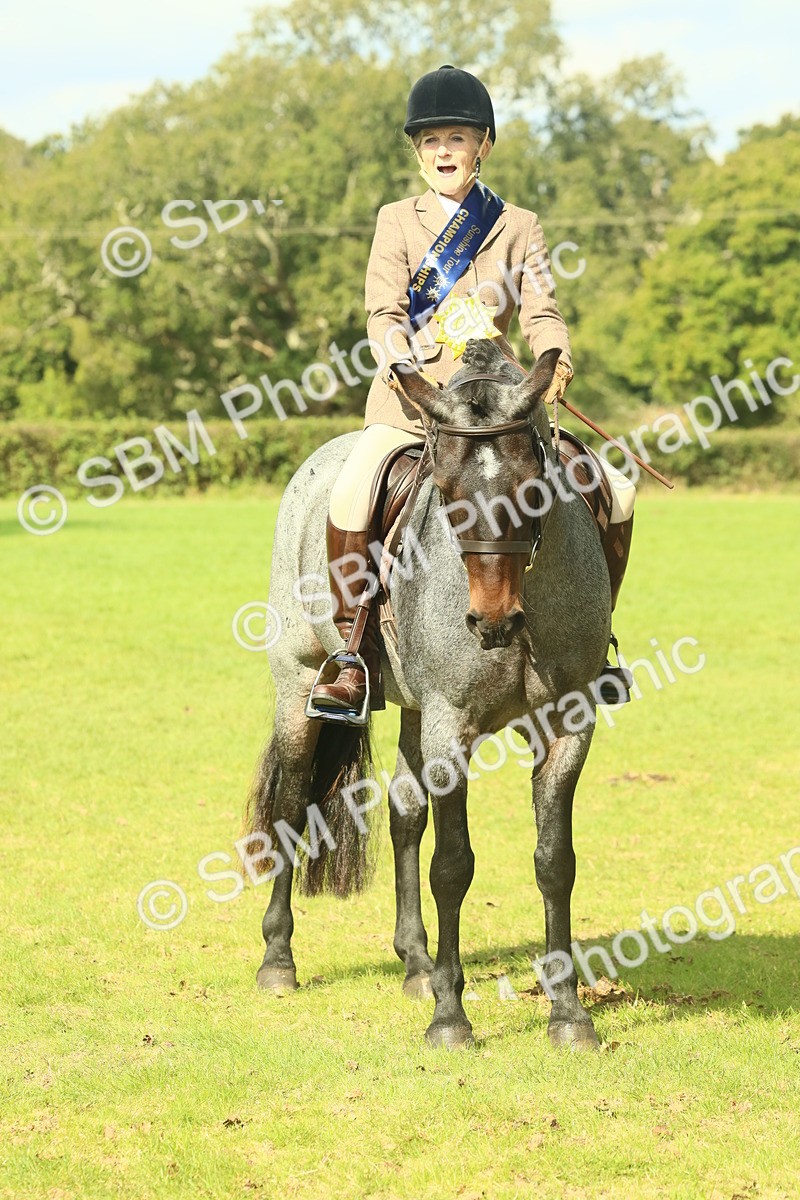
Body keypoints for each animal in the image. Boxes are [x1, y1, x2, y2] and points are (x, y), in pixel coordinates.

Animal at [244, 339, 613, 1050]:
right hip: (301, 684)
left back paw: (416, 963)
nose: (491, 621)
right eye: (445, 492)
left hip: (414, 711)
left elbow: (554, 860)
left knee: (404, 813)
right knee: (293, 799)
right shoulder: (450, 727)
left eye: (533, 486)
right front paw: (450, 1019)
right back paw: (278, 960)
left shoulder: (566, 724)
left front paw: (568, 1013)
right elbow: (454, 866)